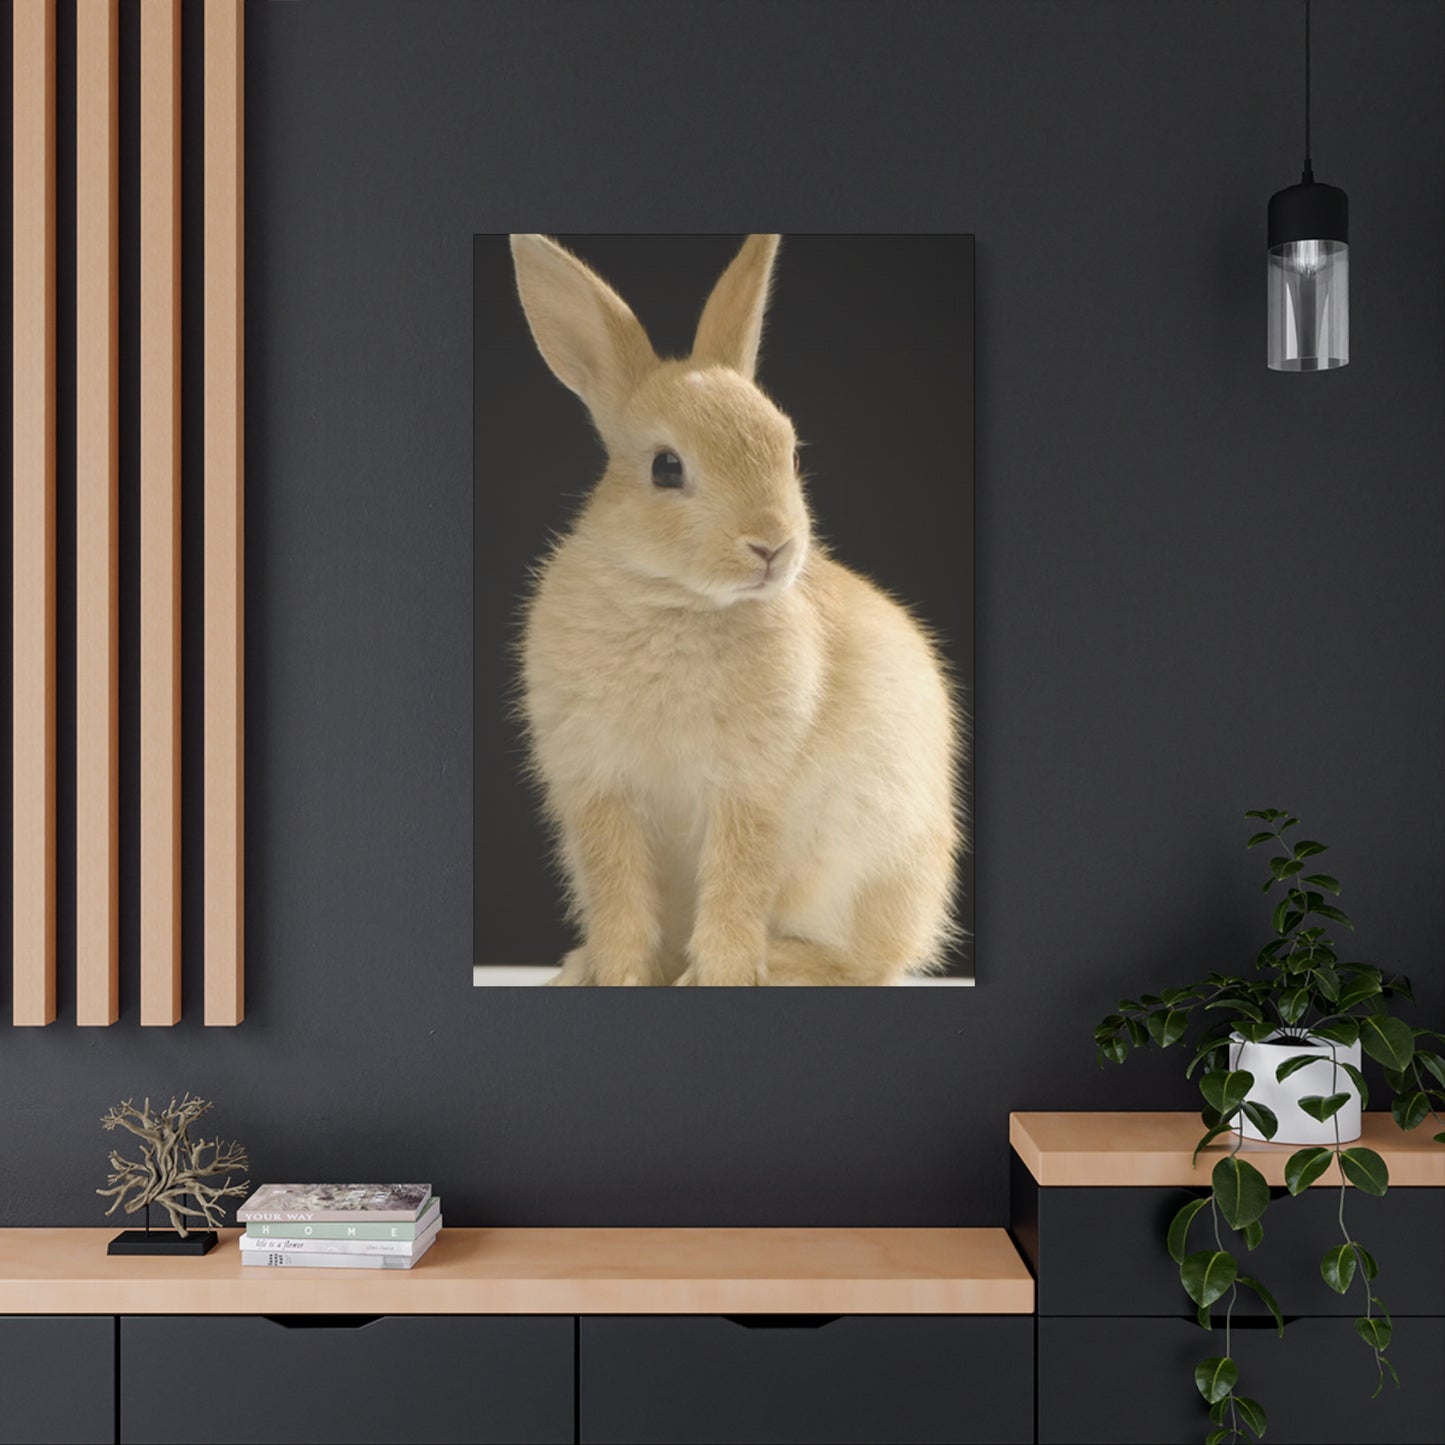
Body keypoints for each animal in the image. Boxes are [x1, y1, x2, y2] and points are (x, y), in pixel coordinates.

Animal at [509, 233, 963, 985]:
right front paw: (619, 973)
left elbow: (736, 877)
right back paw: (585, 966)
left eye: (789, 451)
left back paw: (774, 964)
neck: (674, 598)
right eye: (665, 467)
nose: (772, 545)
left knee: (858, 963)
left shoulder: (749, 787)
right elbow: (617, 888)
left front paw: (720, 973)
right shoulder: (600, 788)